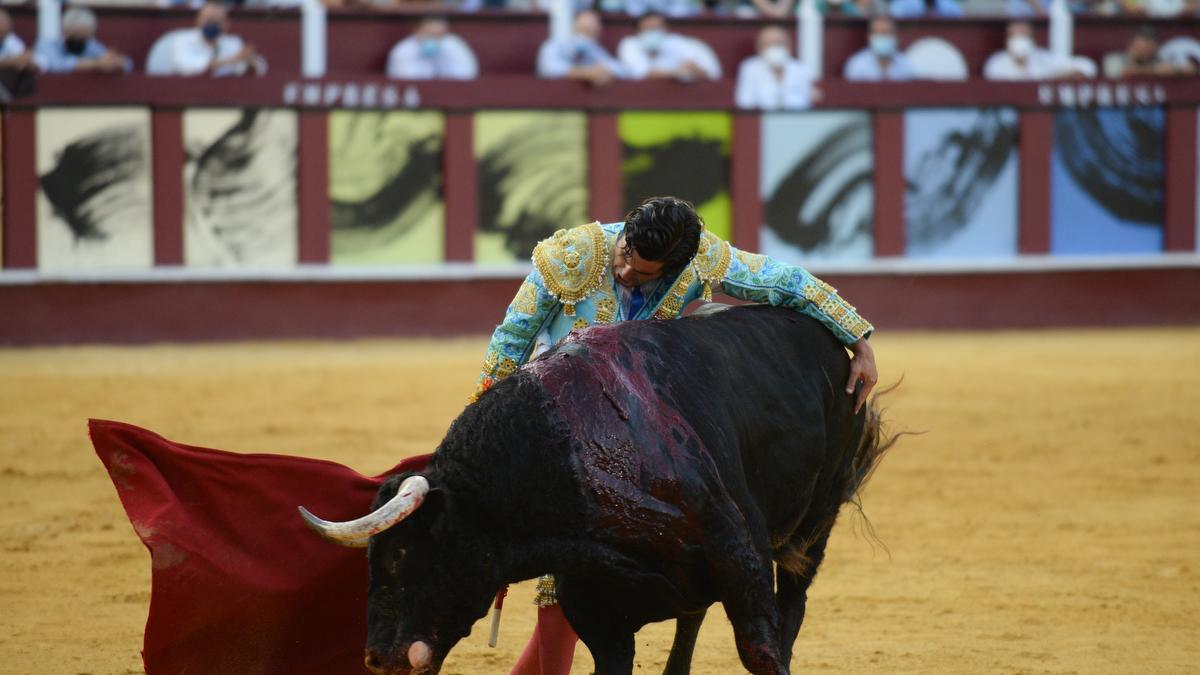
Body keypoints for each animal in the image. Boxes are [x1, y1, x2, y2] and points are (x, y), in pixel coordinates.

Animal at [304, 306, 897, 672]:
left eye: (402, 555)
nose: (377, 657)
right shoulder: (595, 609)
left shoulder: (740, 560)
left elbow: (763, 650)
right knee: (692, 619)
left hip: (813, 523)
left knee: (793, 600)